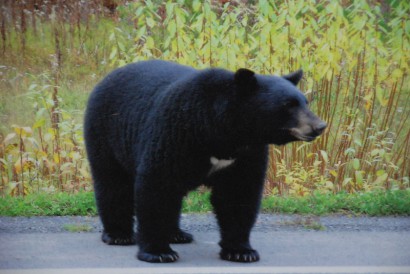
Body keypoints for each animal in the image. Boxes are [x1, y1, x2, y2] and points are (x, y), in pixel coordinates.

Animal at [83, 60, 326, 264]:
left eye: (305, 102)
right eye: (288, 104)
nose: (319, 126)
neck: (224, 132)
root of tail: (107, 77)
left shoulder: (247, 153)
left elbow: (239, 194)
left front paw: (241, 251)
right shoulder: (176, 133)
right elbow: (157, 185)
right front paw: (158, 252)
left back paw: (177, 234)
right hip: (106, 133)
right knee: (113, 184)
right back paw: (118, 235)